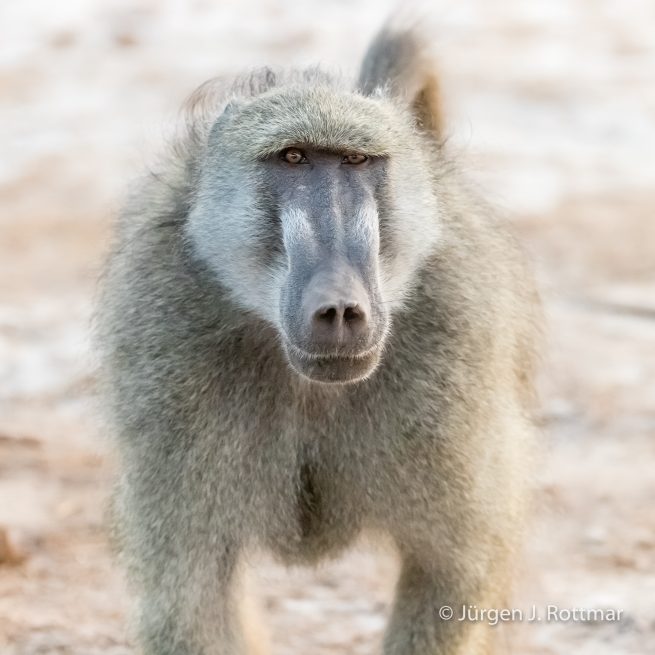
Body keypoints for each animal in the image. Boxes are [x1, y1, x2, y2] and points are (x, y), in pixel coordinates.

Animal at [96, 16, 541, 655]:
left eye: (355, 160)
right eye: (293, 158)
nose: (339, 309)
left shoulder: (456, 336)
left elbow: (451, 578)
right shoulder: (164, 340)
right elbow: (189, 600)